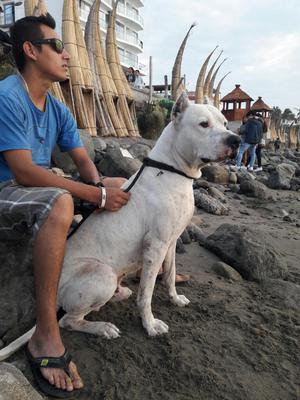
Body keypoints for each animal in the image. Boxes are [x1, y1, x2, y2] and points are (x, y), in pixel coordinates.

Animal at [0, 93, 239, 360]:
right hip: (100, 274)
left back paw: (120, 295)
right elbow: (146, 293)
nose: (236, 140)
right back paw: (102, 328)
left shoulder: (171, 242)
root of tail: (53, 295)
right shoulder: (155, 245)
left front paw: (175, 299)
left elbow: (169, 275)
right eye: (203, 124)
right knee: (68, 321)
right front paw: (150, 325)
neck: (172, 171)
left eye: (225, 123)